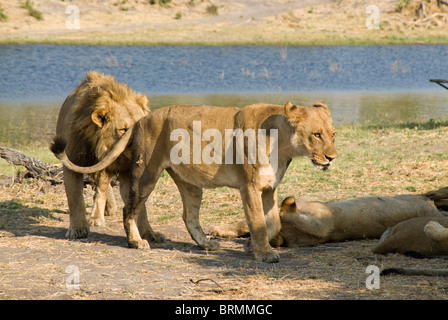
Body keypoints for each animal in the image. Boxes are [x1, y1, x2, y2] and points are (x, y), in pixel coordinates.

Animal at [51, 71, 163, 244]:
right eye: (124, 129)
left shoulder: (127, 171)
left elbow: (139, 207)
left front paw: (148, 233)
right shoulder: (72, 161)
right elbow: (75, 198)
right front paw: (77, 229)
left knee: (103, 183)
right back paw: (97, 215)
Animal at [51, 100, 336, 262]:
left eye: (333, 134)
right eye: (316, 135)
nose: (331, 158)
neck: (283, 145)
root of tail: (141, 119)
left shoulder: (269, 189)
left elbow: (273, 223)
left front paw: (250, 247)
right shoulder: (249, 187)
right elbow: (256, 221)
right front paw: (264, 254)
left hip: (191, 184)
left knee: (188, 216)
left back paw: (207, 244)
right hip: (146, 174)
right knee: (129, 209)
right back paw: (136, 242)